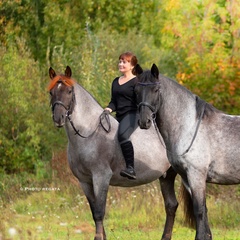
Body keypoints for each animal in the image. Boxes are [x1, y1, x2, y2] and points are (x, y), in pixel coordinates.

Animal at [48, 66, 191, 240]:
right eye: (51, 92)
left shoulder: (101, 177)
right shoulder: (84, 181)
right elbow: (94, 212)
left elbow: (99, 212)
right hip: (166, 176)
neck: (89, 132)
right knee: (171, 205)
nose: (58, 118)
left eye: (69, 91)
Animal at [134, 63, 240, 240]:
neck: (189, 126)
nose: (144, 121)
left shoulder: (196, 175)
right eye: (136, 90)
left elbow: (199, 211)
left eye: (156, 90)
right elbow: (204, 212)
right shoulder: (186, 177)